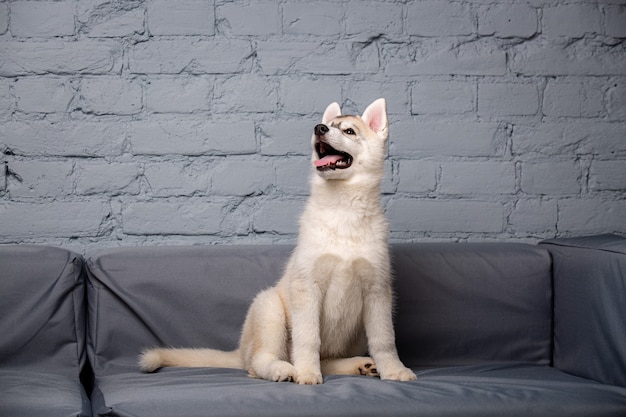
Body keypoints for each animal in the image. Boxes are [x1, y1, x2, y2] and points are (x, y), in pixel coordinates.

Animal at [141, 97, 414, 384]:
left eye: (349, 131)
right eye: (328, 125)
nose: (318, 128)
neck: (343, 209)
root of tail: (240, 352)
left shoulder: (378, 291)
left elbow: (385, 340)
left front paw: (394, 370)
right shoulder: (306, 287)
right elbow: (307, 339)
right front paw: (306, 373)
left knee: (326, 360)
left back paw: (360, 365)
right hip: (269, 308)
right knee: (259, 361)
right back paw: (283, 369)